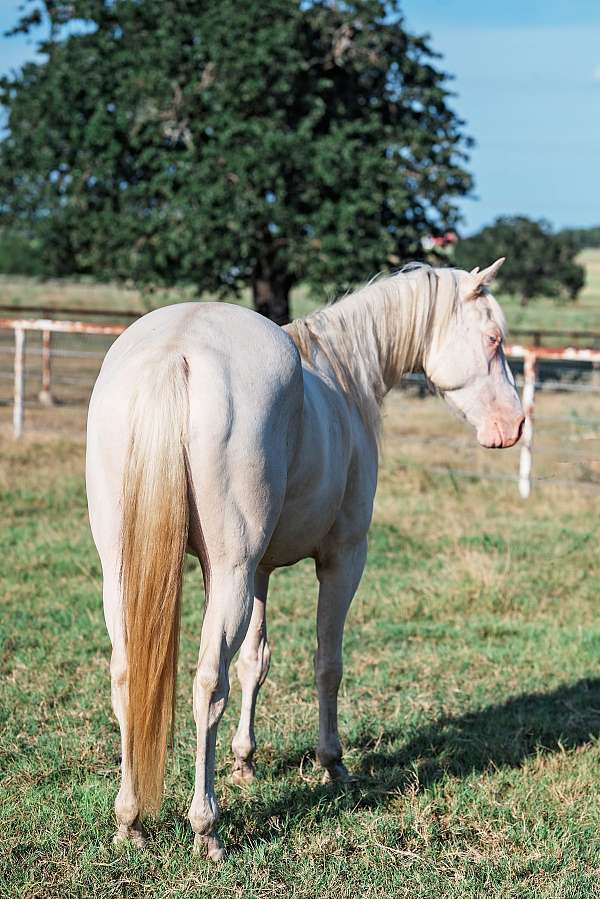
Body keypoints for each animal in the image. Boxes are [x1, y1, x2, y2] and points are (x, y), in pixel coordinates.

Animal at [86, 258, 524, 860]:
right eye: (493, 339)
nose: (515, 425)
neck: (342, 380)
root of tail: (176, 352)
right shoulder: (341, 559)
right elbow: (326, 664)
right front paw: (333, 764)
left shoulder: (258, 573)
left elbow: (255, 661)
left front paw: (245, 761)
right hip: (232, 573)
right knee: (207, 685)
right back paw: (206, 825)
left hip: (129, 574)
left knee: (128, 674)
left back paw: (129, 819)